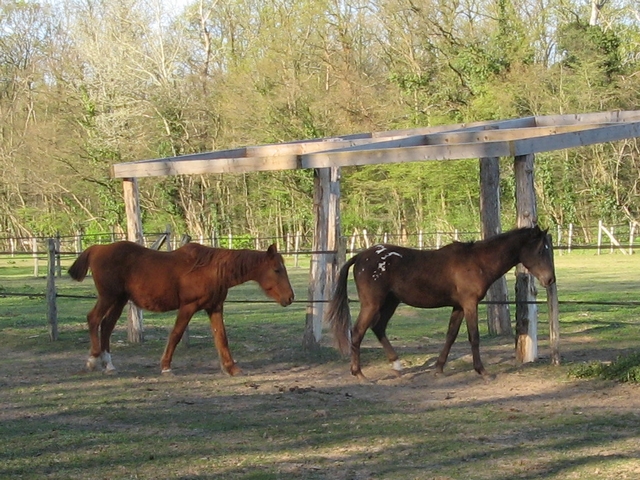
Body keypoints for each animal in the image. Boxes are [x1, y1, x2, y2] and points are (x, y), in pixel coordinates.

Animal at [68, 241, 295, 375]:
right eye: (277, 269)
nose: (290, 298)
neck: (211, 269)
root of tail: (97, 248)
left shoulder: (214, 308)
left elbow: (221, 338)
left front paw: (231, 368)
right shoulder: (188, 307)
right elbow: (176, 334)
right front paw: (165, 366)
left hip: (119, 300)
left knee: (106, 326)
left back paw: (108, 364)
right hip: (109, 297)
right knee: (93, 319)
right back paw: (93, 359)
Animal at [325, 226, 556, 380]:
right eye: (541, 250)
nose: (550, 280)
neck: (477, 261)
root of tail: (360, 257)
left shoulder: (459, 306)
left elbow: (451, 335)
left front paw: (439, 368)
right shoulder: (470, 304)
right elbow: (474, 337)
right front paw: (482, 371)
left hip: (390, 302)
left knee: (378, 328)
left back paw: (397, 366)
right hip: (372, 304)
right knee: (357, 332)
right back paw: (359, 374)